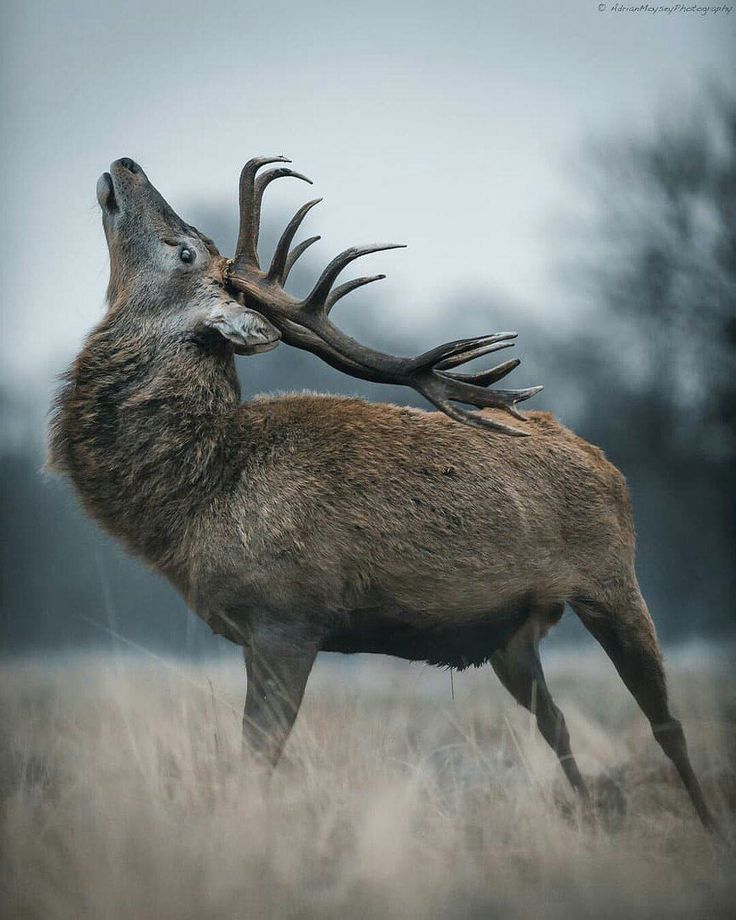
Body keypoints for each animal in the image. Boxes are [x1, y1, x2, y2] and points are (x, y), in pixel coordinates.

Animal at [47, 155, 712, 832]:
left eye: (184, 251)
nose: (126, 166)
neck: (196, 497)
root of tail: (607, 466)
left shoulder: (289, 618)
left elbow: (259, 753)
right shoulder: (254, 634)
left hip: (612, 582)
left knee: (666, 722)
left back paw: (707, 827)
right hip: (514, 634)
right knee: (556, 724)